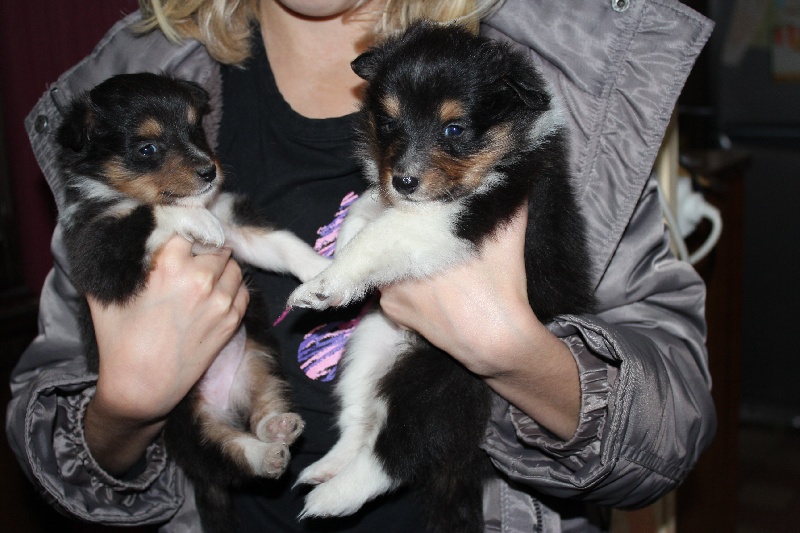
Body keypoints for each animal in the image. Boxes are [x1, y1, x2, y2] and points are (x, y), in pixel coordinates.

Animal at [57, 71, 328, 532]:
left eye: (195, 129)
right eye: (147, 148)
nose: (208, 171)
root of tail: (224, 402)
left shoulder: (236, 224)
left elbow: (281, 244)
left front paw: (326, 272)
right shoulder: (100, 253)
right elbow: (150, 213)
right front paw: (194, 219)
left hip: (261, 366)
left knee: (262, 412)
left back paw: (277, 429)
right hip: (183, 424)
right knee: (227, 454)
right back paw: (264, 454)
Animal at [290, 21, 596, 532]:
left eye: (453, 129)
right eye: (389, 123)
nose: (404, 181)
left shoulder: (453, 221)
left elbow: (381, 232)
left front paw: (321, 286)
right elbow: (364, 210)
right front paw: (334, 264)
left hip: (443, 382)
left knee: (399, 455)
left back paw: (330, 498)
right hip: (368, 349)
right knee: (360, 422)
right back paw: (324, 469)